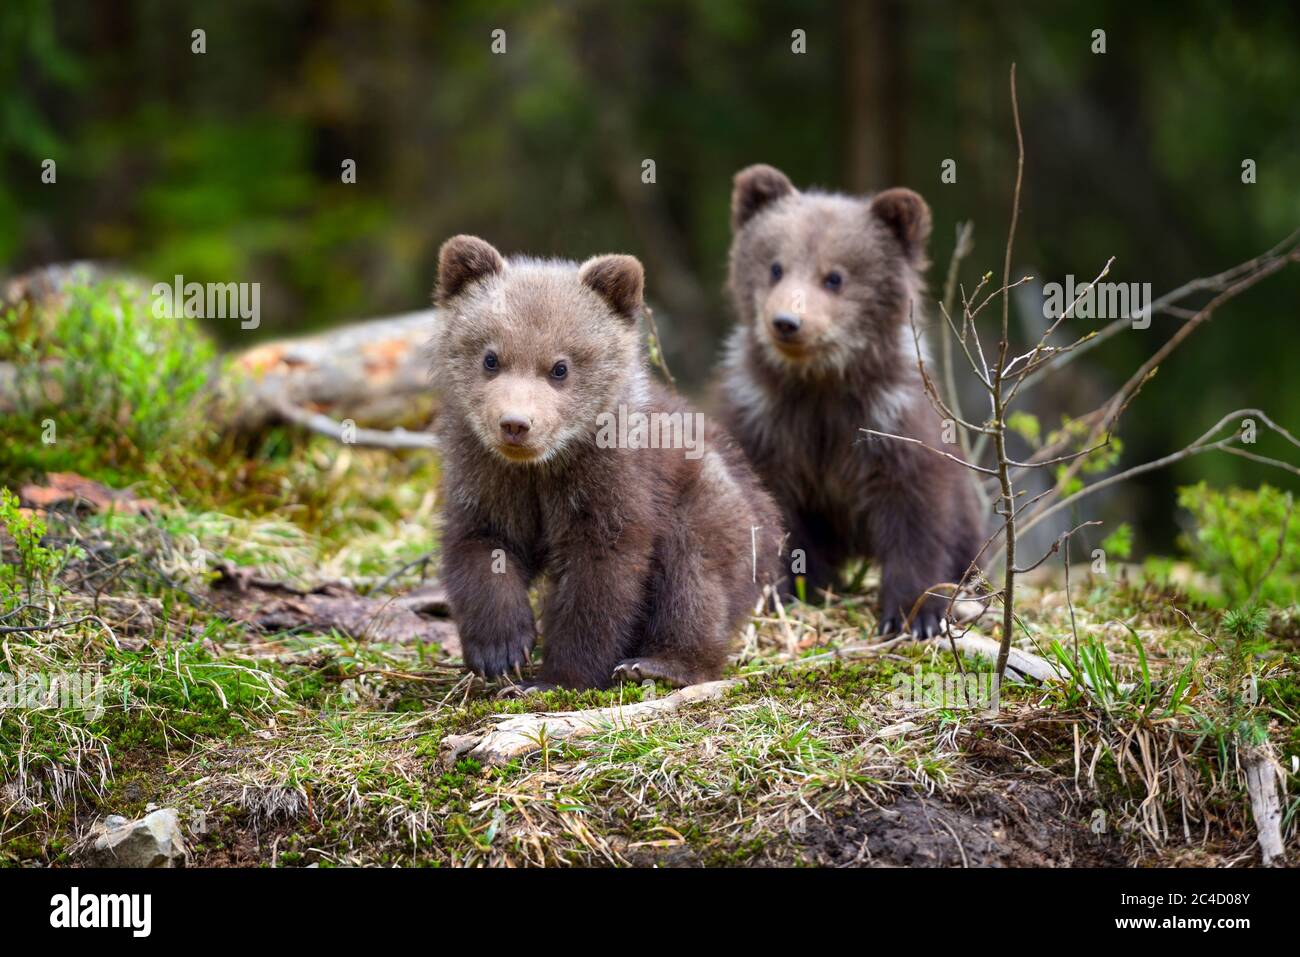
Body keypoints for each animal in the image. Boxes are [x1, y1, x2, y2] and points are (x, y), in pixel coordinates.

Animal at [432, 235, 785, 690]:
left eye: (560, 367)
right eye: (490, 358)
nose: (515, 424)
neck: (543, 467)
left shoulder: (612, 482)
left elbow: (601, 574)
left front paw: (558, 676)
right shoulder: (485, 474)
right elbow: (481, 546)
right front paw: (501, 651)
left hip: (710, 506)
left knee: (695, 582)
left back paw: (662, 664)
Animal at [715, 164, 984, 638]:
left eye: (835, 277)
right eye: (775, 267)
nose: (786, 322)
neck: (822, 386)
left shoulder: (892, 423)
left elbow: (917, 515)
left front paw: (914, 614)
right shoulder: (763, 424)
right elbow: (773, 514)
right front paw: (786, 591)